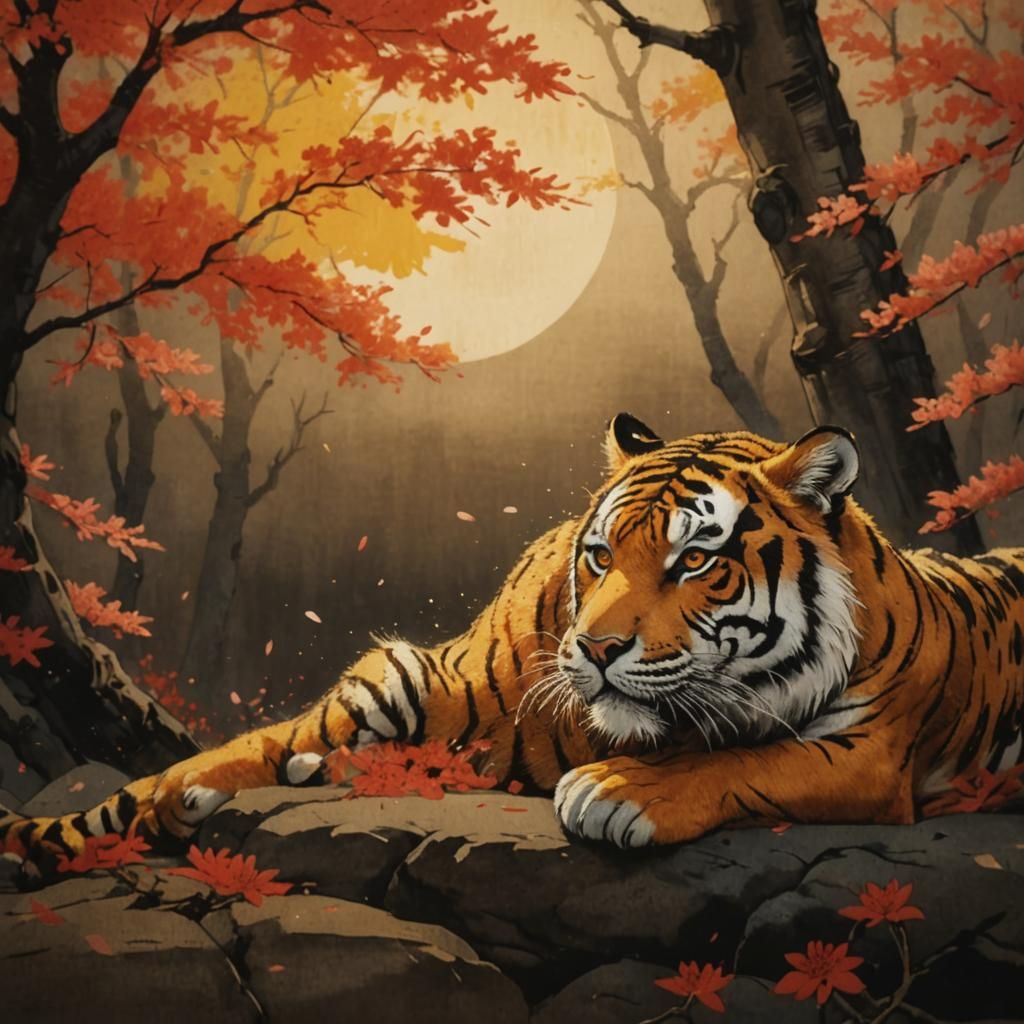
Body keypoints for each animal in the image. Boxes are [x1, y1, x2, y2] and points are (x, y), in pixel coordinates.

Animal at [2, 414, 1023, 864]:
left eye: (696, 561)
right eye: (603, 555)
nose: (599, 650)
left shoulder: (866, 752)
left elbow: (745, 760)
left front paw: (617, 792)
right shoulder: (422, 673)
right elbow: (284, 731)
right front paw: (185, 791)